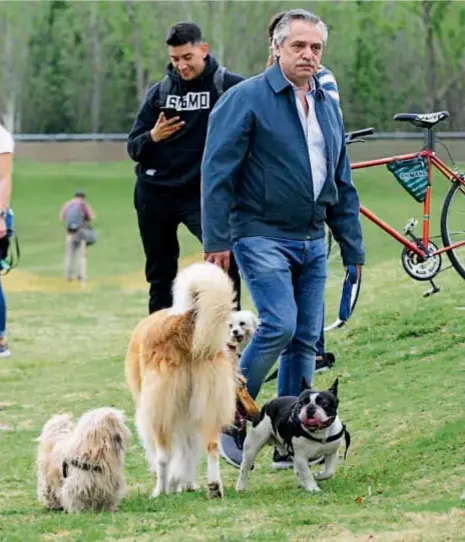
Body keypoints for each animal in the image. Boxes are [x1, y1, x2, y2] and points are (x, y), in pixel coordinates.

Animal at [124, 264, 236, 502]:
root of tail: (184, 322)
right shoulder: (187, 419)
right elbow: (187, 454)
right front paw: (185, 483)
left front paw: (174, 484)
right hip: (211, 405)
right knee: (212, 446)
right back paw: (214, 488)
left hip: (160, 413)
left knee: (163, 455)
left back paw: (160, 491)